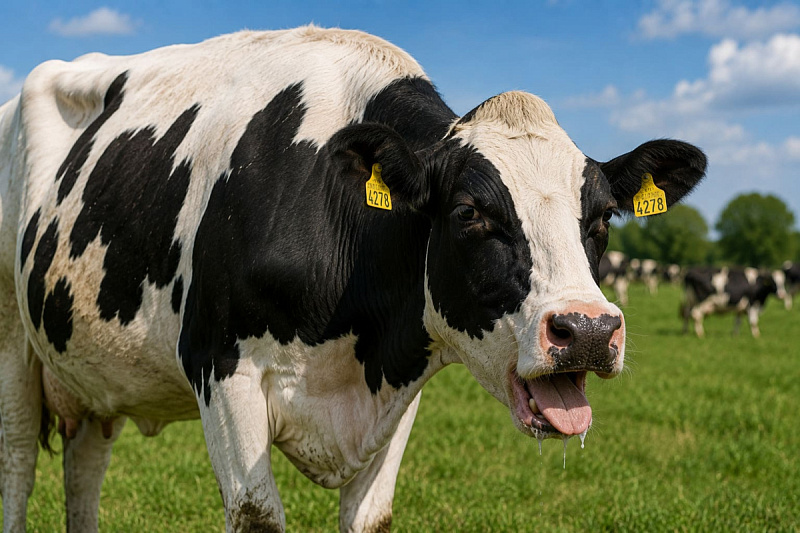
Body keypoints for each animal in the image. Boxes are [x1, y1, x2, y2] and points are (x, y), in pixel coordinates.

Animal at [0, 26, 706, 532]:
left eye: (603, 217)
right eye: (469, 212)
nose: (587, 330)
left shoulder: (398, 389)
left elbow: (371, 517)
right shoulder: (220, 368)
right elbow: (256, 516)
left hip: (92, 374)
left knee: (83, 471)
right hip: (10, 338)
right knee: (17, 466)